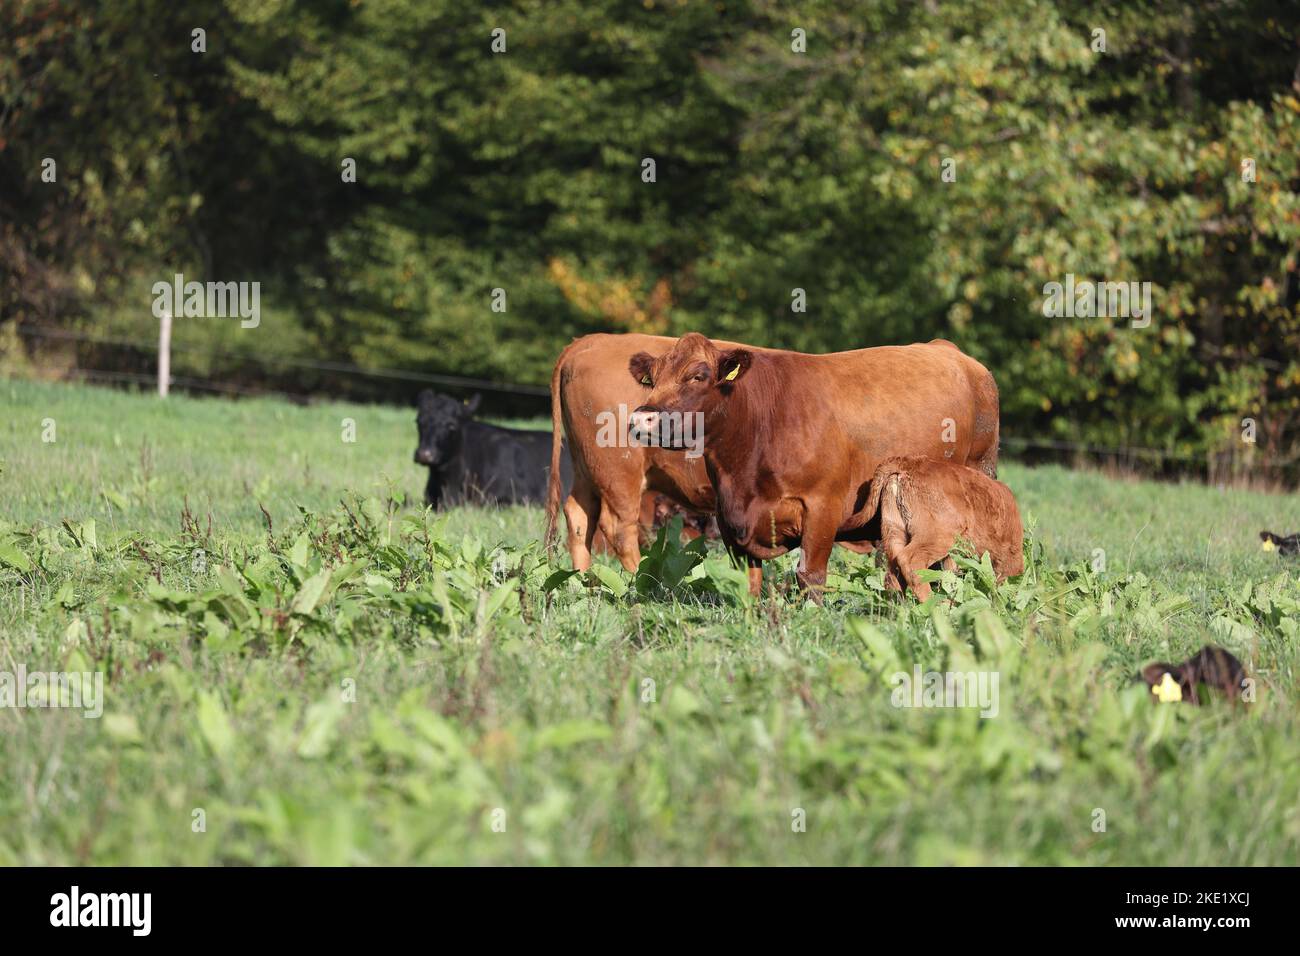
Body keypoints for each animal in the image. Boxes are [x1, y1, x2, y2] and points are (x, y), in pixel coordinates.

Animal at [622, 332, 1001, 599]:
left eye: (698, 376)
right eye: (652, 378)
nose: (642, 419)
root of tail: (947, 349)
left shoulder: (823, 508)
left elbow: (810, 577)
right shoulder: (728, 521)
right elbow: (748, 583)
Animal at [863, 456, 1023, 601]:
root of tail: (908, 462)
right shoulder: (1010, 557)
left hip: (895, 531)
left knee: (892, 570)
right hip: (937, 537)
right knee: (910, 562)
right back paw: (932, 604)